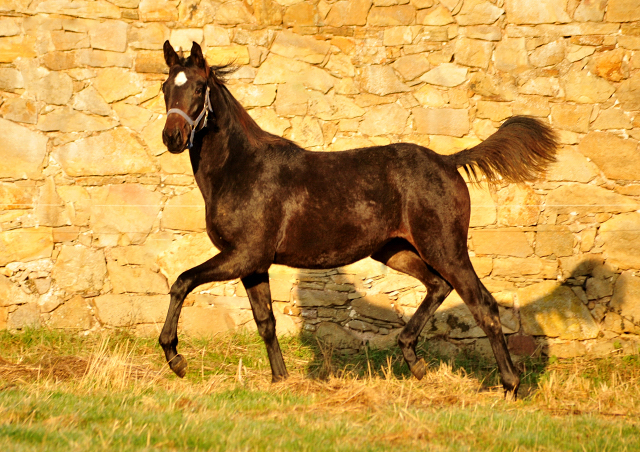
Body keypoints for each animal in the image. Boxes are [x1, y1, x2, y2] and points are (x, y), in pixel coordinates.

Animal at [156, 40, 556, 398]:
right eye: (165, 88)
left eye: (198, 87)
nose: (172, 137)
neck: (241, 170)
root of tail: (448, 161)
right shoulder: (253, 264)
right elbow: (265, 322)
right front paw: (280, 380)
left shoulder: (243, 255)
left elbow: (181, 281)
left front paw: (175, 358)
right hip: (396, 251)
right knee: (438, 286)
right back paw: (414, 360)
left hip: (445, 247)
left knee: (481, 302)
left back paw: (510, 384)